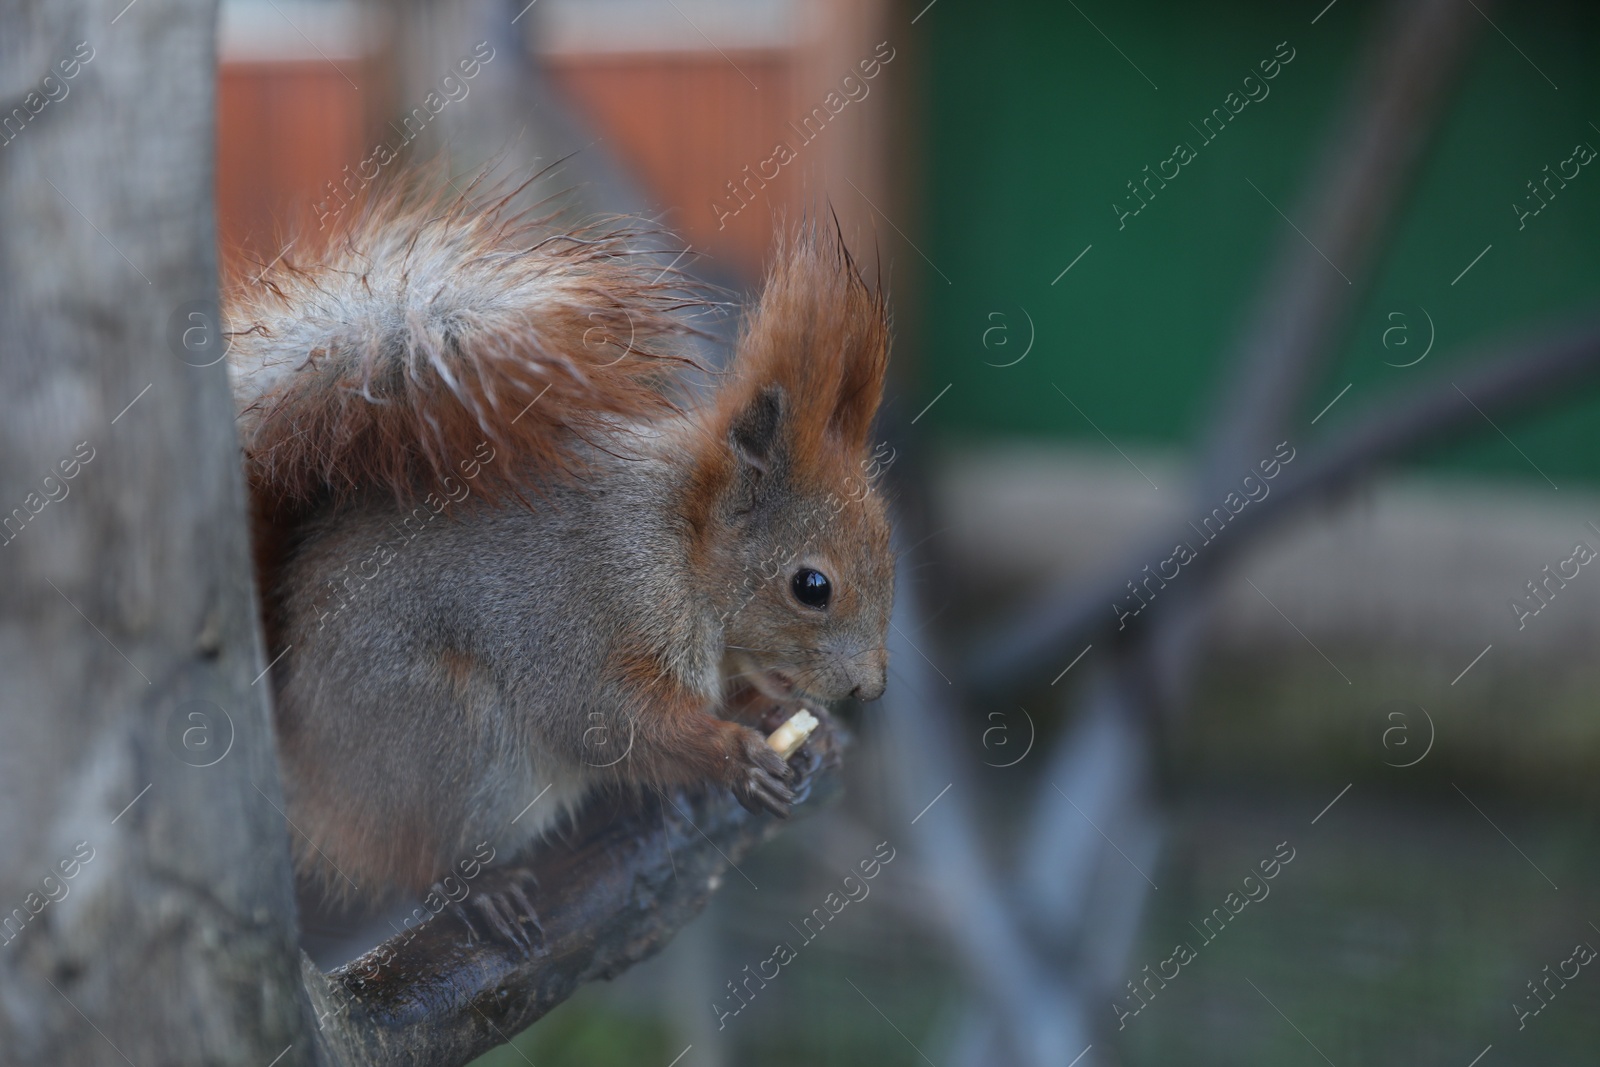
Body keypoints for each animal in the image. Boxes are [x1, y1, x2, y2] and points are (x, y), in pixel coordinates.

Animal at [225, 185, 902, 921]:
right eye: (812, 586)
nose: (870, 688)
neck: (680, 543)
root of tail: (300, 749)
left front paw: (778, 717)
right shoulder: (592, 608)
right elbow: (600, 717)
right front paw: (732, 755)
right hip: (451, 737)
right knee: (415, 856)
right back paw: (477, 891)